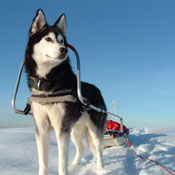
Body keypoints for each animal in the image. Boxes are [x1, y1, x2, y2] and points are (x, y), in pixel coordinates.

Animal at [24, 9, 106, 175]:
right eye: (48, 39)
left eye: (62, 41)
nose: (64, 50)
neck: (48, 84)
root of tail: (98, 89)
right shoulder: (42, 128)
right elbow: (43, 163)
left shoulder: (61, 128)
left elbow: (62, 163)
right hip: (74, 130)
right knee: (81, 148)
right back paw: (74, 165)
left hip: (93, 129)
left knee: (99, 150)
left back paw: (101, 169)